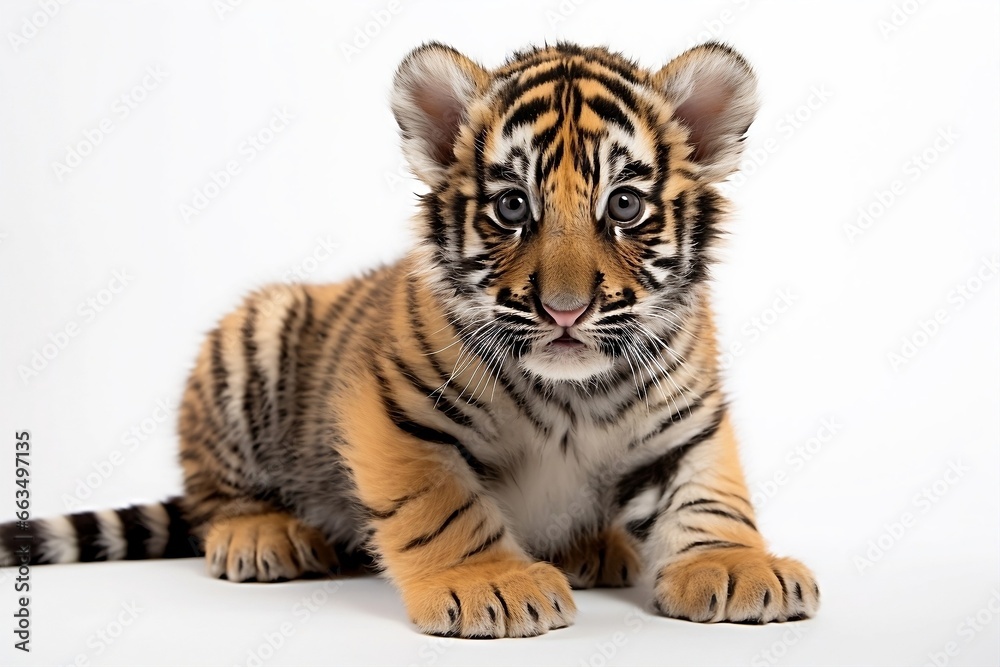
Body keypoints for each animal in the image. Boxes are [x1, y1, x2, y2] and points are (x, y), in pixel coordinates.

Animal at [0, 41, 819, 638]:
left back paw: (596, 548)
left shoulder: (688, 419)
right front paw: (491, 583)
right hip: (248, 340)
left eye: (623, 205)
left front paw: (739, 568)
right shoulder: (396, 410)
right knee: (214, 499)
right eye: (512, 206)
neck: (572, 392)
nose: (564, 311)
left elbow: (711, 493)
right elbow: (444, 505)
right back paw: (263, 536)